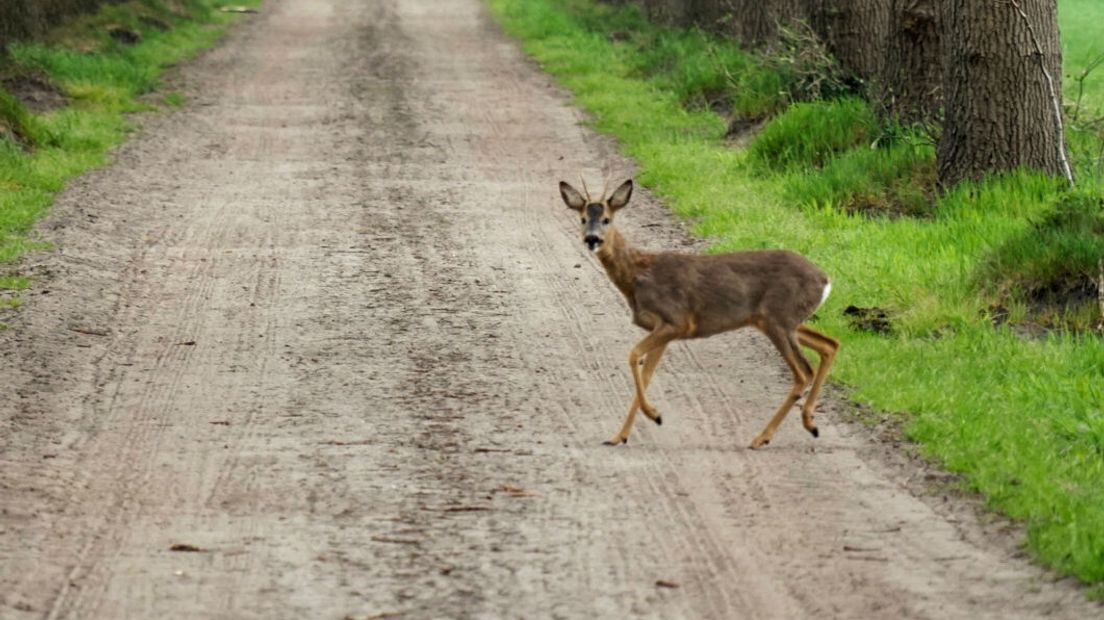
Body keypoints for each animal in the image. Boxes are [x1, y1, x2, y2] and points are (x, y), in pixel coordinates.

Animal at [560, 176, 834, 445]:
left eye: (607, 219)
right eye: (583, 218)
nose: (592, 239)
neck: (638, 276)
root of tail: (825, 280)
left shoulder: (676, 320)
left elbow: (633, 355)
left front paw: (654, 415)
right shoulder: (662, 329)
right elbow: (646, 375)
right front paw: (620, 435)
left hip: (778, 318)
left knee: (804, 372)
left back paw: (763, 437)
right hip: (784, 321)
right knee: (830, 344)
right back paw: (809, 423)